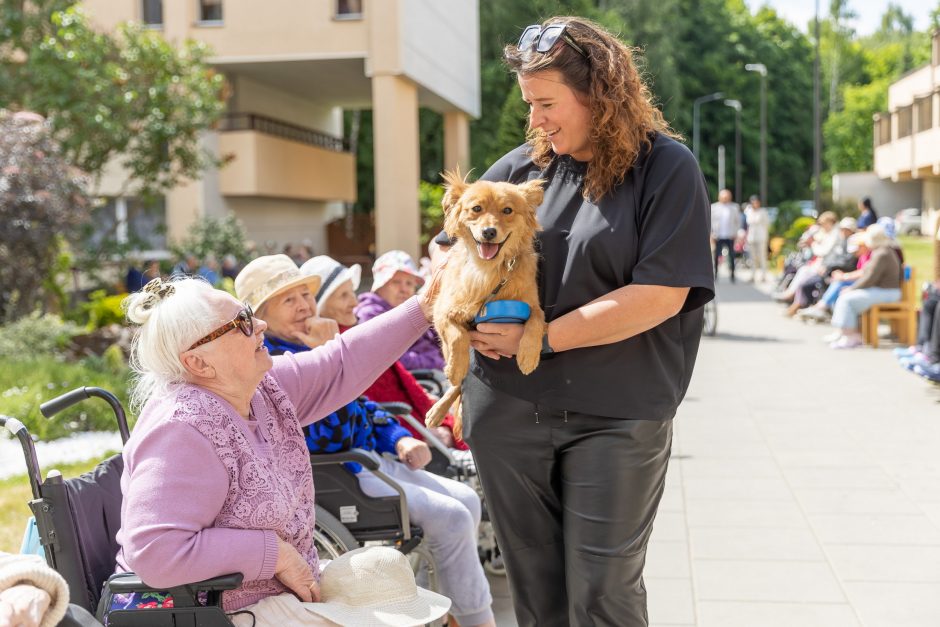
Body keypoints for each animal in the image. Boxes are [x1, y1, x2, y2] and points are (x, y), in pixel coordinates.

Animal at [424, 170, 548, 436]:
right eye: (476, 209)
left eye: (507, 210)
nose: (489, 232)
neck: (488, 270)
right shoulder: (442, 311)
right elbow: (458, 337)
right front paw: (456, 367)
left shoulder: (533, 306)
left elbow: (535, 322)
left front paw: (528, 356)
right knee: (456, 384)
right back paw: (439, 407)